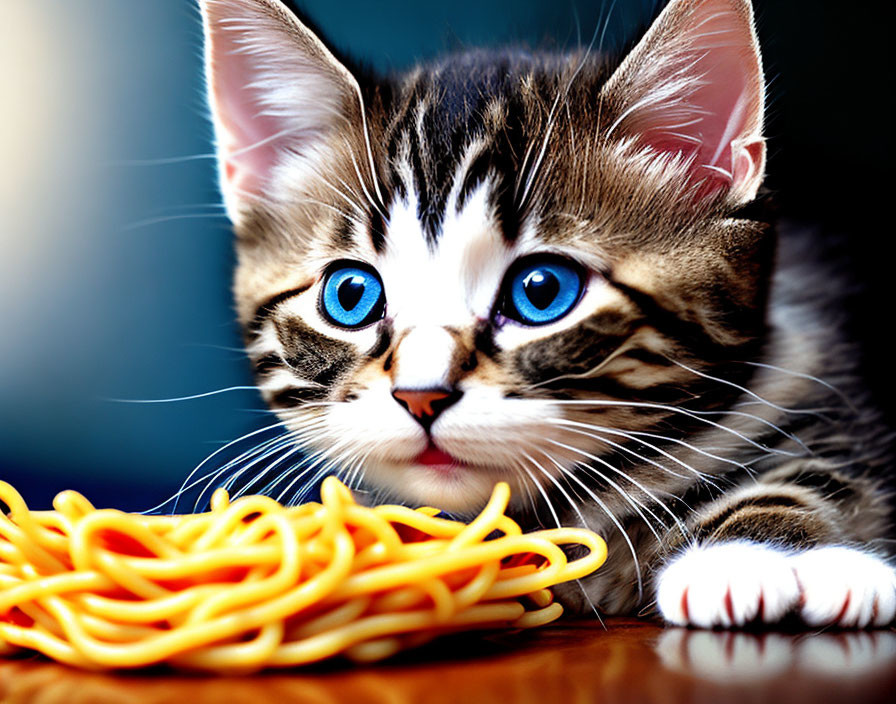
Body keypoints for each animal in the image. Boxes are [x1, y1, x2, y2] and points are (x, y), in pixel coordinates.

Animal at [198, 0, 896, 628]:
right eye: (351, 296)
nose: (421, 395)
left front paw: (757, 553)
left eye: (542, 291)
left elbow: (818, 467)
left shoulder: (805, 357)